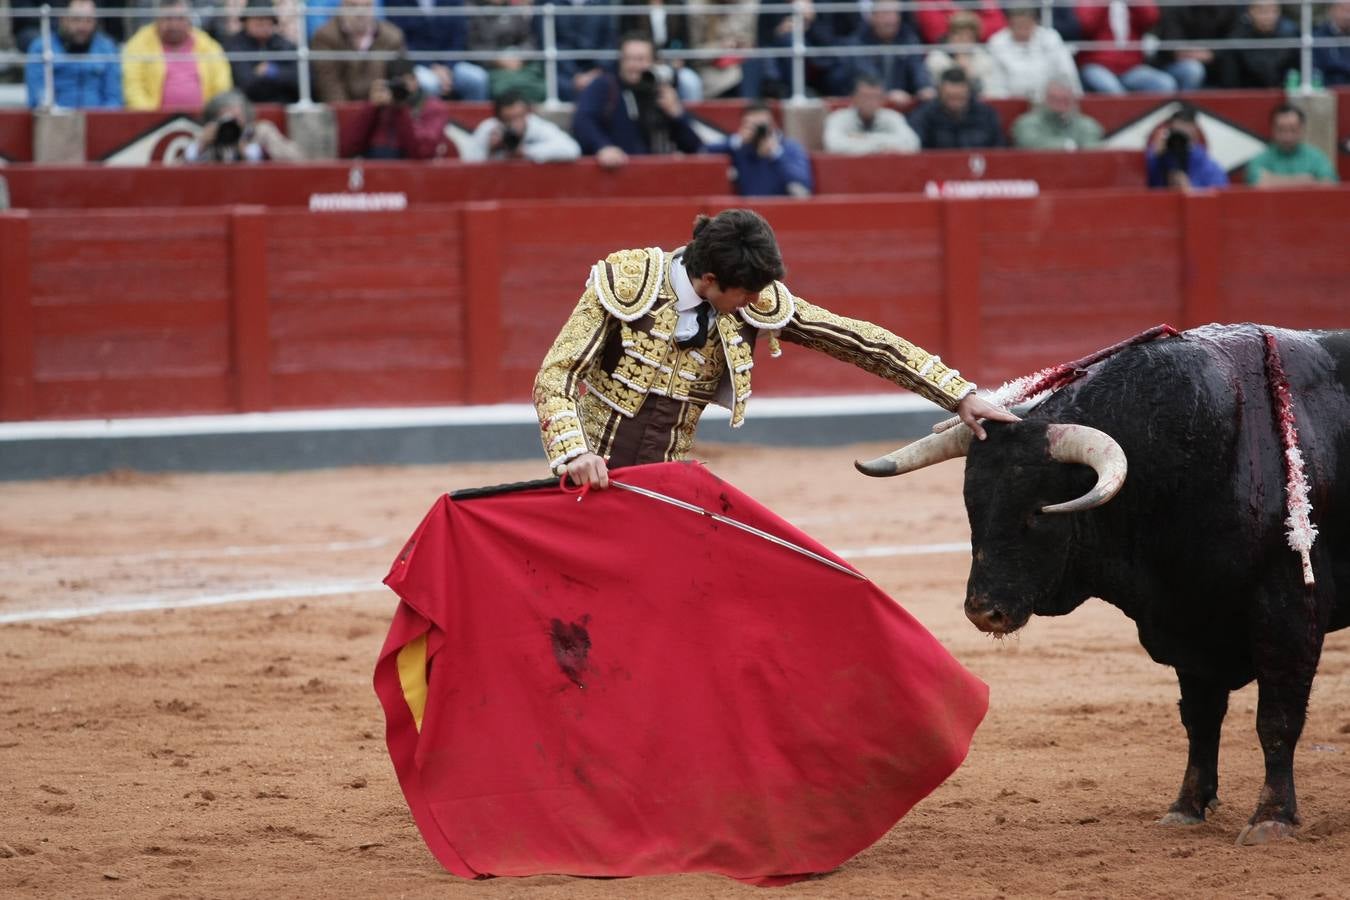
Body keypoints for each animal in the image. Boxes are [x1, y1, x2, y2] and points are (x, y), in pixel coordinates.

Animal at [864, 327, 1350, 847]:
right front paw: (1186, 807)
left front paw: (1271, 818)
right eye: (971, 507)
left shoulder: (1290, 613)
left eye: (1039, 511)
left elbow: (1277, 718)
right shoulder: (1188, 620)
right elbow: (1200, 718)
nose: (983, 611)